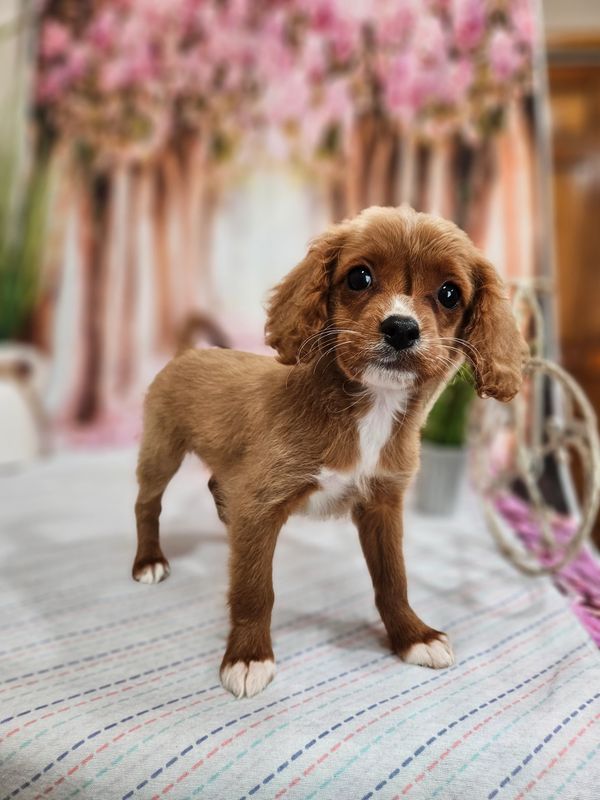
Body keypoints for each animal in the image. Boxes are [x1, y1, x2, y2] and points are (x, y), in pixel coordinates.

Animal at [131, 208, 524, 700]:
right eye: (359, 277)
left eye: (450, 293)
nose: (401, 328)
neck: (369, 410)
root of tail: (190, 353)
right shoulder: (262, 503)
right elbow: (254, 589)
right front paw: (248, 656)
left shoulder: (382, 504)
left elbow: (392, 579)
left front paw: (413, 636)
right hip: (162, 451)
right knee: (147, 504)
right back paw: (149, 560)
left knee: (216, 484)